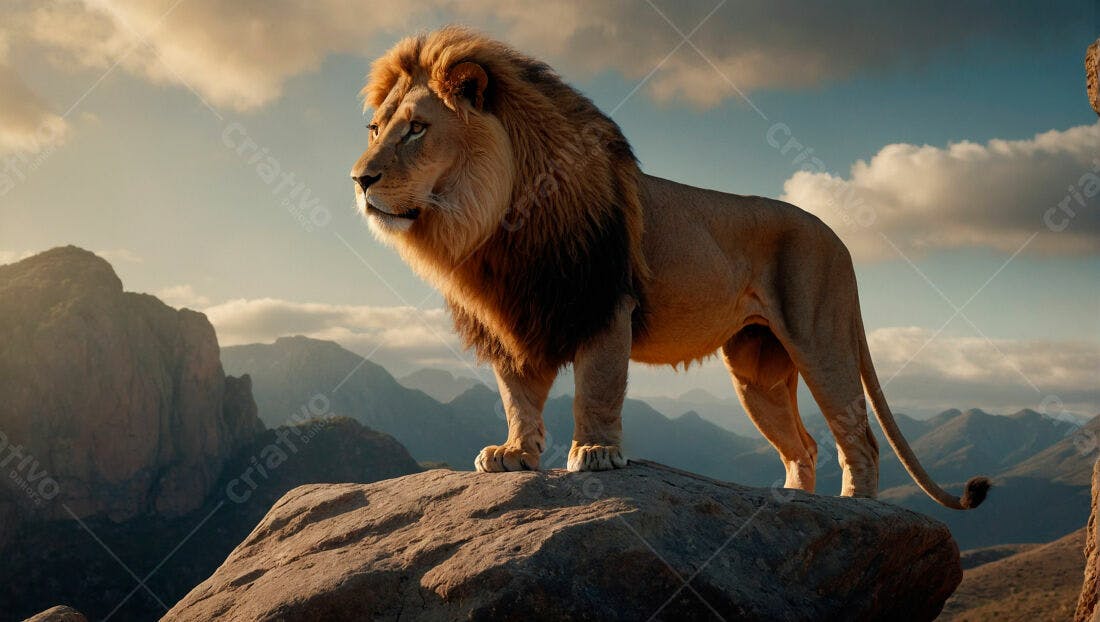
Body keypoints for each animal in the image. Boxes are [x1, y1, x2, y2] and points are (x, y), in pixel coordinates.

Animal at [350, 26, 990, 509]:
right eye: (376, 129)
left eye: (417, 128)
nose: (360, 179)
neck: (491, 227)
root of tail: (840, 239)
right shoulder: (513, 316)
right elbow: (517, 397)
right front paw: (514, 455)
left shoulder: (605, 304)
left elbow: (597, 388)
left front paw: (597, 454)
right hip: (756, 371)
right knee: (802, 445)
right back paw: (792, 501)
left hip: (822, 339)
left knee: (858, 436)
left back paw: (854, 507)